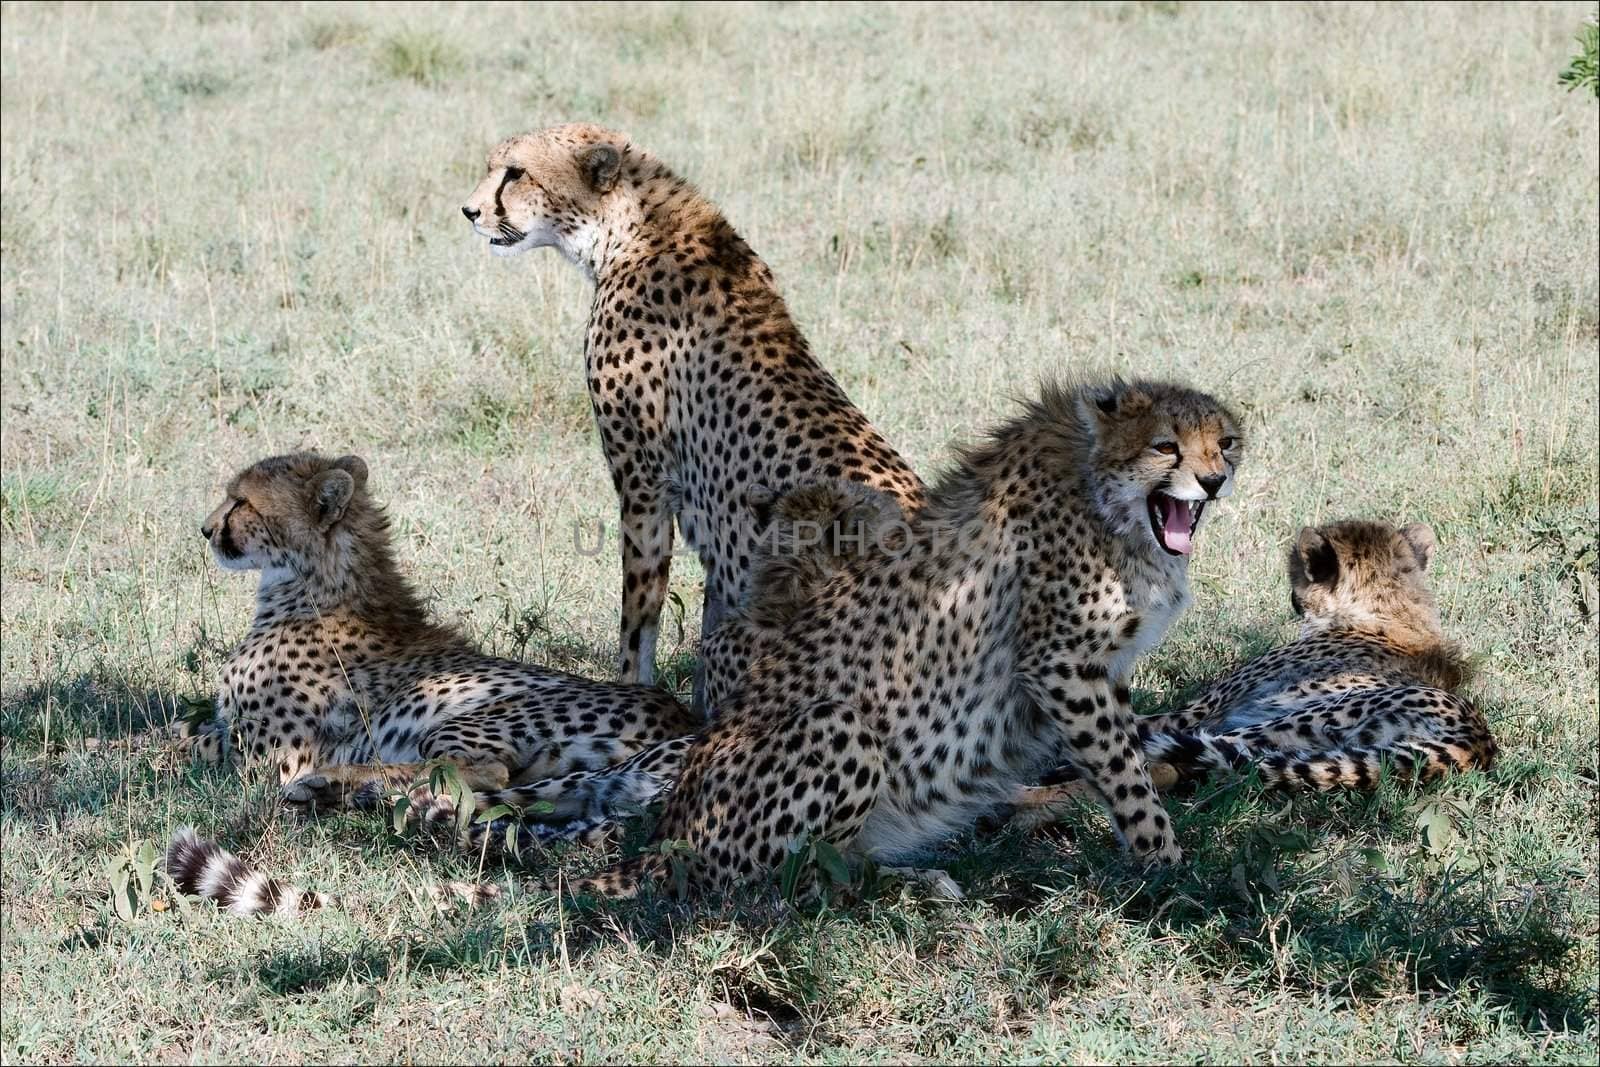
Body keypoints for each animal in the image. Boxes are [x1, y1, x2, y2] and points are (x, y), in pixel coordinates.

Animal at [170, 451, 707, 908]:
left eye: (241, 501)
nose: (204, 529)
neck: (317, 585)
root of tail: (681, 716)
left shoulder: (266, 758)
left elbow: (170, 747)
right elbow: (177, 728)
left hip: (463, 718)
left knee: (473, 777)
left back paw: (330, 784)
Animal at [457, 125, 928, 710]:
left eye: (516, 172)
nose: (470, 211)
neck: (629, 226)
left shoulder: (644, 483)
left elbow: (639, 621)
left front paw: (634, 694)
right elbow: (706, 616)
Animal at [563, 377, 1248, 902]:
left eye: (1225, 443)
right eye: (1165, 446)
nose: (1213, 481)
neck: (1100, 494)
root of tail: (667, 834)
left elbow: (1125, 756)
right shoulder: (1061, 666)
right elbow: (1124, 775)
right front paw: (1167, 864)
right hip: (837, 728)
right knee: (798, 884)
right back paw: (913, 889)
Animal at [1011, 518, 1497, 825]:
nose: (1291, 597)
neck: (1387, 610)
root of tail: (1476, 743)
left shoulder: (1198, 713)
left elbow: (1125, 726)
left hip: (1283, 724)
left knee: (1151, 763)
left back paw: (1024, 800)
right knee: (1174, 770)